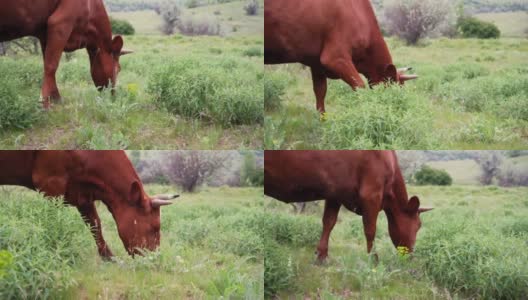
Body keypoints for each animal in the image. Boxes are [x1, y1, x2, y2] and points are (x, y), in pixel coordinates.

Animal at [0, 0, 132, 109]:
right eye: (118, 69)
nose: (113, 95)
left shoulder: (45, 36)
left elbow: (47, 63)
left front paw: (55, 99)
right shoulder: (60, 23)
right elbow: (51, 65)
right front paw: (45, 102)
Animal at [0, 151, 177, 258]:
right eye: (154, 228)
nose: (155, 259)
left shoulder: (83, 195)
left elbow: (95, 225)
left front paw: (109, 258)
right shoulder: (50, 184)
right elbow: (53, 222)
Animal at [264, 151, 434, 262]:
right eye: (418, 225)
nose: (411, 255)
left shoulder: (335, 194)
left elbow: (329, 222)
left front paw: (322, 256)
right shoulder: (371, 195)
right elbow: (370, 230)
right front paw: (374, 260)